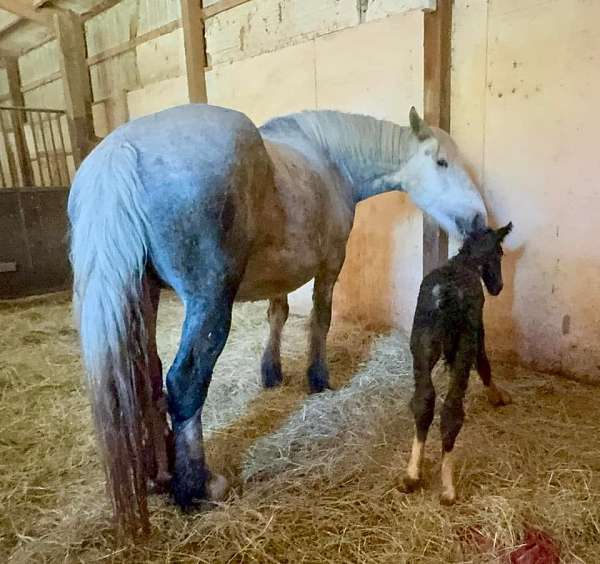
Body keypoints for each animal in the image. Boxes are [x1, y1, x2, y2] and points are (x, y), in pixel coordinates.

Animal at [404, 219, 510, 502]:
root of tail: (447, 295)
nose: (498, 287)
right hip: (464, 344)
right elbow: (484, 365)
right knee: (451, 411)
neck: (465, 263)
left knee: (423, 402)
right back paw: (448, 487)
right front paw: (498, 397)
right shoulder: (478, 331)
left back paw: (412, 474)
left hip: (422, 346)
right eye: (500, 253)